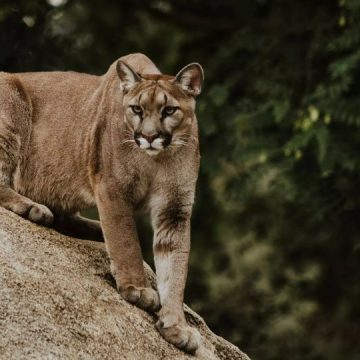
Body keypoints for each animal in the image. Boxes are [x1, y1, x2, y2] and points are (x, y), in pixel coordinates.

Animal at [0, 52, 202, 352]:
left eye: (169, 110)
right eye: (136, 109)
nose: (149, 137)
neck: (157, 159)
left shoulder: (174, 210)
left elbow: (175, 270)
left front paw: (177, 326)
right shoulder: (112, 188)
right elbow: (125, 240)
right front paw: (138, 289)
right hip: (12, 109)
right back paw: (33, 208)